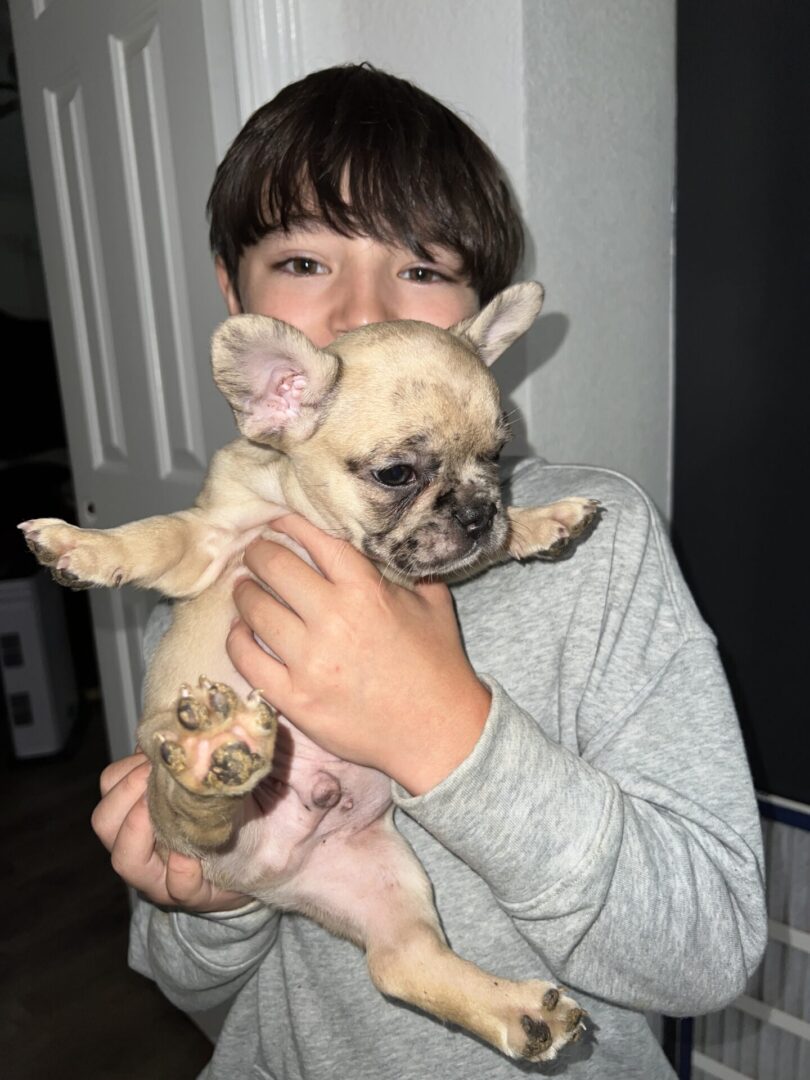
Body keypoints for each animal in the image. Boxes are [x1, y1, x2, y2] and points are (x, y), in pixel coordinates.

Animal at [23, 280, 596, 1062]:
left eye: (499, 455)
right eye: (397, 474)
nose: (481, 511)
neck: (311, 517)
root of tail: (265, 875)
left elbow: (489, 552)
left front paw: (542, 521)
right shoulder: (208, 540)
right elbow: (152, 537)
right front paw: (80, 545)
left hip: (384, 881)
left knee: (401, 963)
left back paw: (520, 1012)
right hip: (172, 796)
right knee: (191, 813)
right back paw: (213, 757)